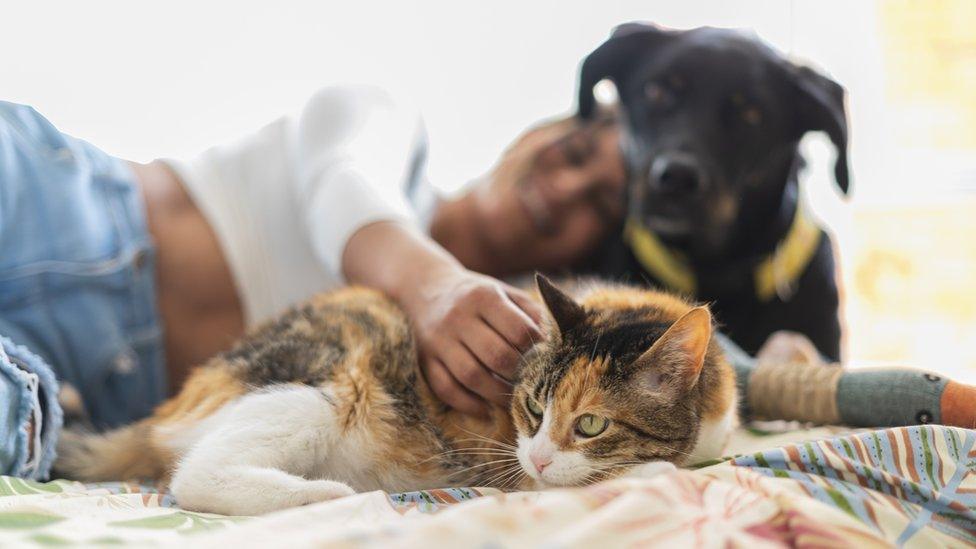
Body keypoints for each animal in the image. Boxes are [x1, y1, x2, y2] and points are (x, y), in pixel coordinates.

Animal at [57, 276, 736, 516]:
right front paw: (653, 471)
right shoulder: (515, 466)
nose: (541, 454)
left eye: (592, 424)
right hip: (328, 386)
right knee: (195, 474)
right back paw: (324, 494)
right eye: (534, 409)